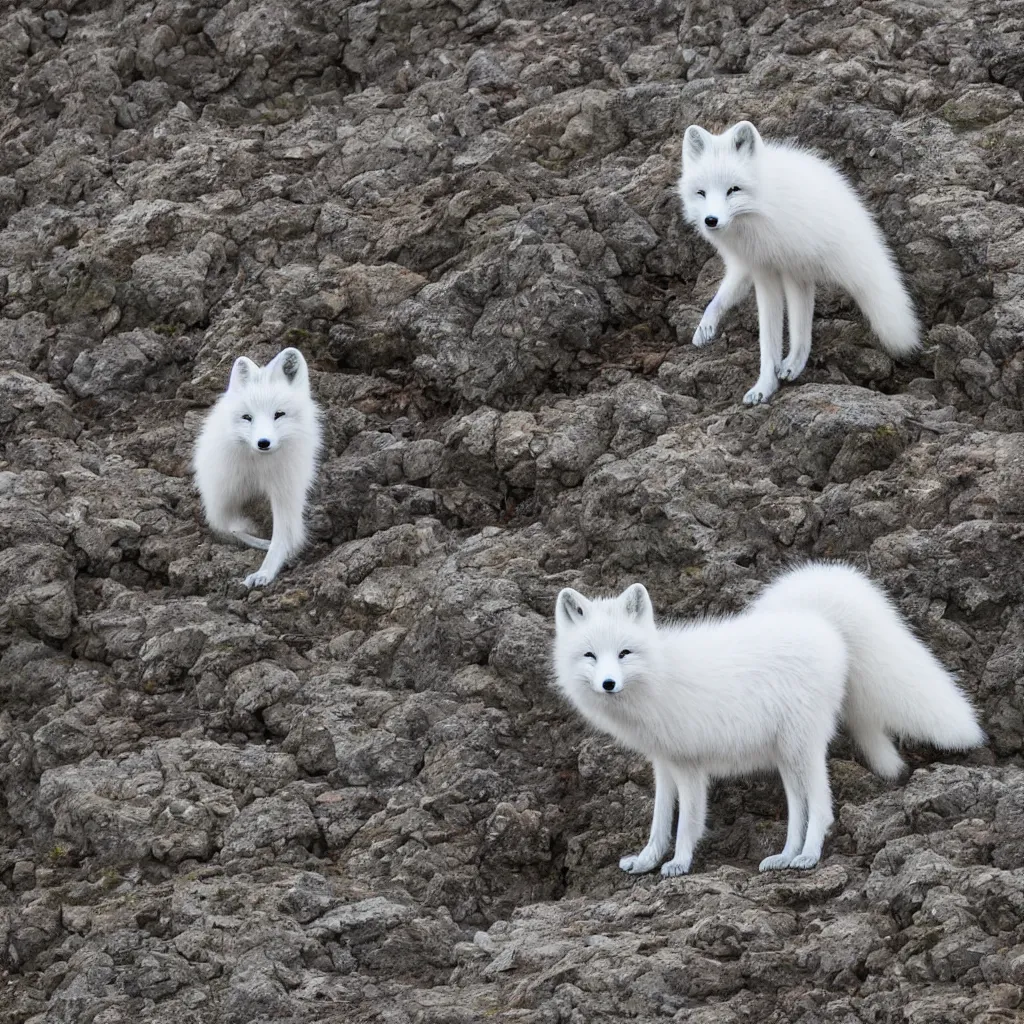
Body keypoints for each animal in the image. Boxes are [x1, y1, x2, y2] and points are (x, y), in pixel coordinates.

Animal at [191, 344, 319, 589]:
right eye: (247, 417)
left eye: (279, 414)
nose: (263, 443)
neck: (261, 466)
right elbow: (229, 528)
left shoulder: (286, 489)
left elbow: (283, 534)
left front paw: (266, 571)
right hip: (221, 492)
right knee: (226, 525)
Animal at [552, 565, 983, 876]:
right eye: (590, 655)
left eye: (624, 653)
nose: (608, 684)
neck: (660, 674)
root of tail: (817, 622)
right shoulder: (663, 762)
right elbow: (660, 821)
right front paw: (646, 860)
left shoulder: (689, 765)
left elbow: (688, 822)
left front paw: (679, 863)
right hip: (785, 755)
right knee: (799, 809)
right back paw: (785, 856)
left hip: (803, 746)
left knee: (822, 808)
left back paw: (808, 856)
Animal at [679, 121, 921, 405]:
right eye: (701, 193)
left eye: (733, 190)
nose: (711, 220)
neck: (755, 214)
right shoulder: (753, 265)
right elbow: (727, 303)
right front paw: (707, 325)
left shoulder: (766, 269)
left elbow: (768, 336)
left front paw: (764, 386)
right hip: (796, 273)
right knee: (802, 324)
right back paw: (793, 363)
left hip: (806, 266)